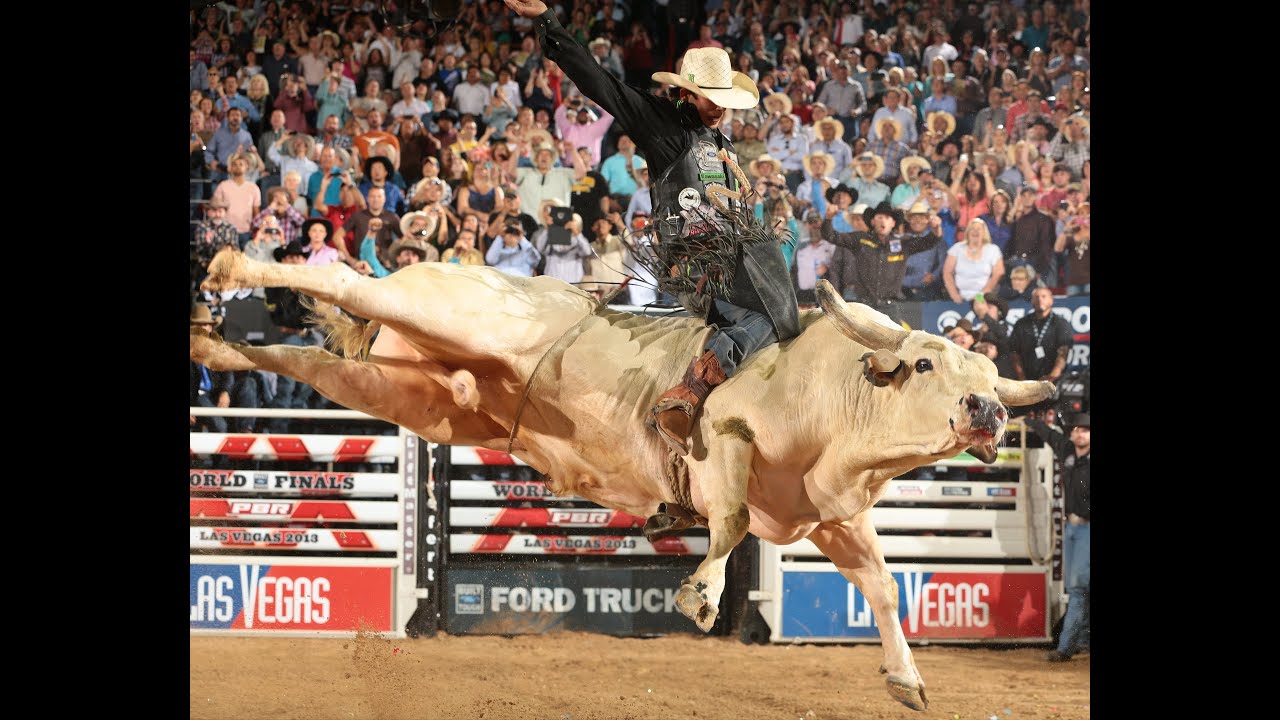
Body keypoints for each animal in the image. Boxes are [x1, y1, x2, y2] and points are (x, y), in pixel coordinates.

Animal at [189, 249, 1049, 707]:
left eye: (991, 377)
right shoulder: (724, 438)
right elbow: (731, 523)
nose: (984, 410)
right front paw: (699, 595)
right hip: (443, 313)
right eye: (928, 364)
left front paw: (906, 678)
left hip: (407, 393)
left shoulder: (831, 518)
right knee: (343, 277)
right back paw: (232, 266)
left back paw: (210, 340)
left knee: (302, 357)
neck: (838, 399)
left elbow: (881, 585)